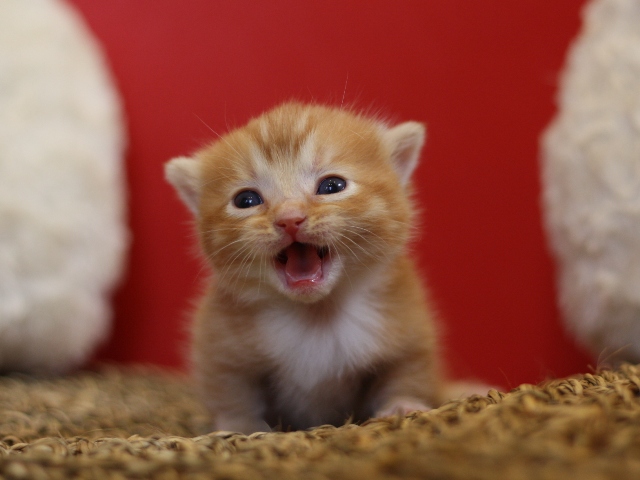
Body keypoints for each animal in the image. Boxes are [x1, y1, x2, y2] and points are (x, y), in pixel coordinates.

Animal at [165, 102, 444, 436]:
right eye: (246, 200)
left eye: (332, 186)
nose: (289, 219)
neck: (316, 312)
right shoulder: (220, 346)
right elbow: (232, 389)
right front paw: (239, 425)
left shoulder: (408, 329)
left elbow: (406, 371)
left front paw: (402, 405)